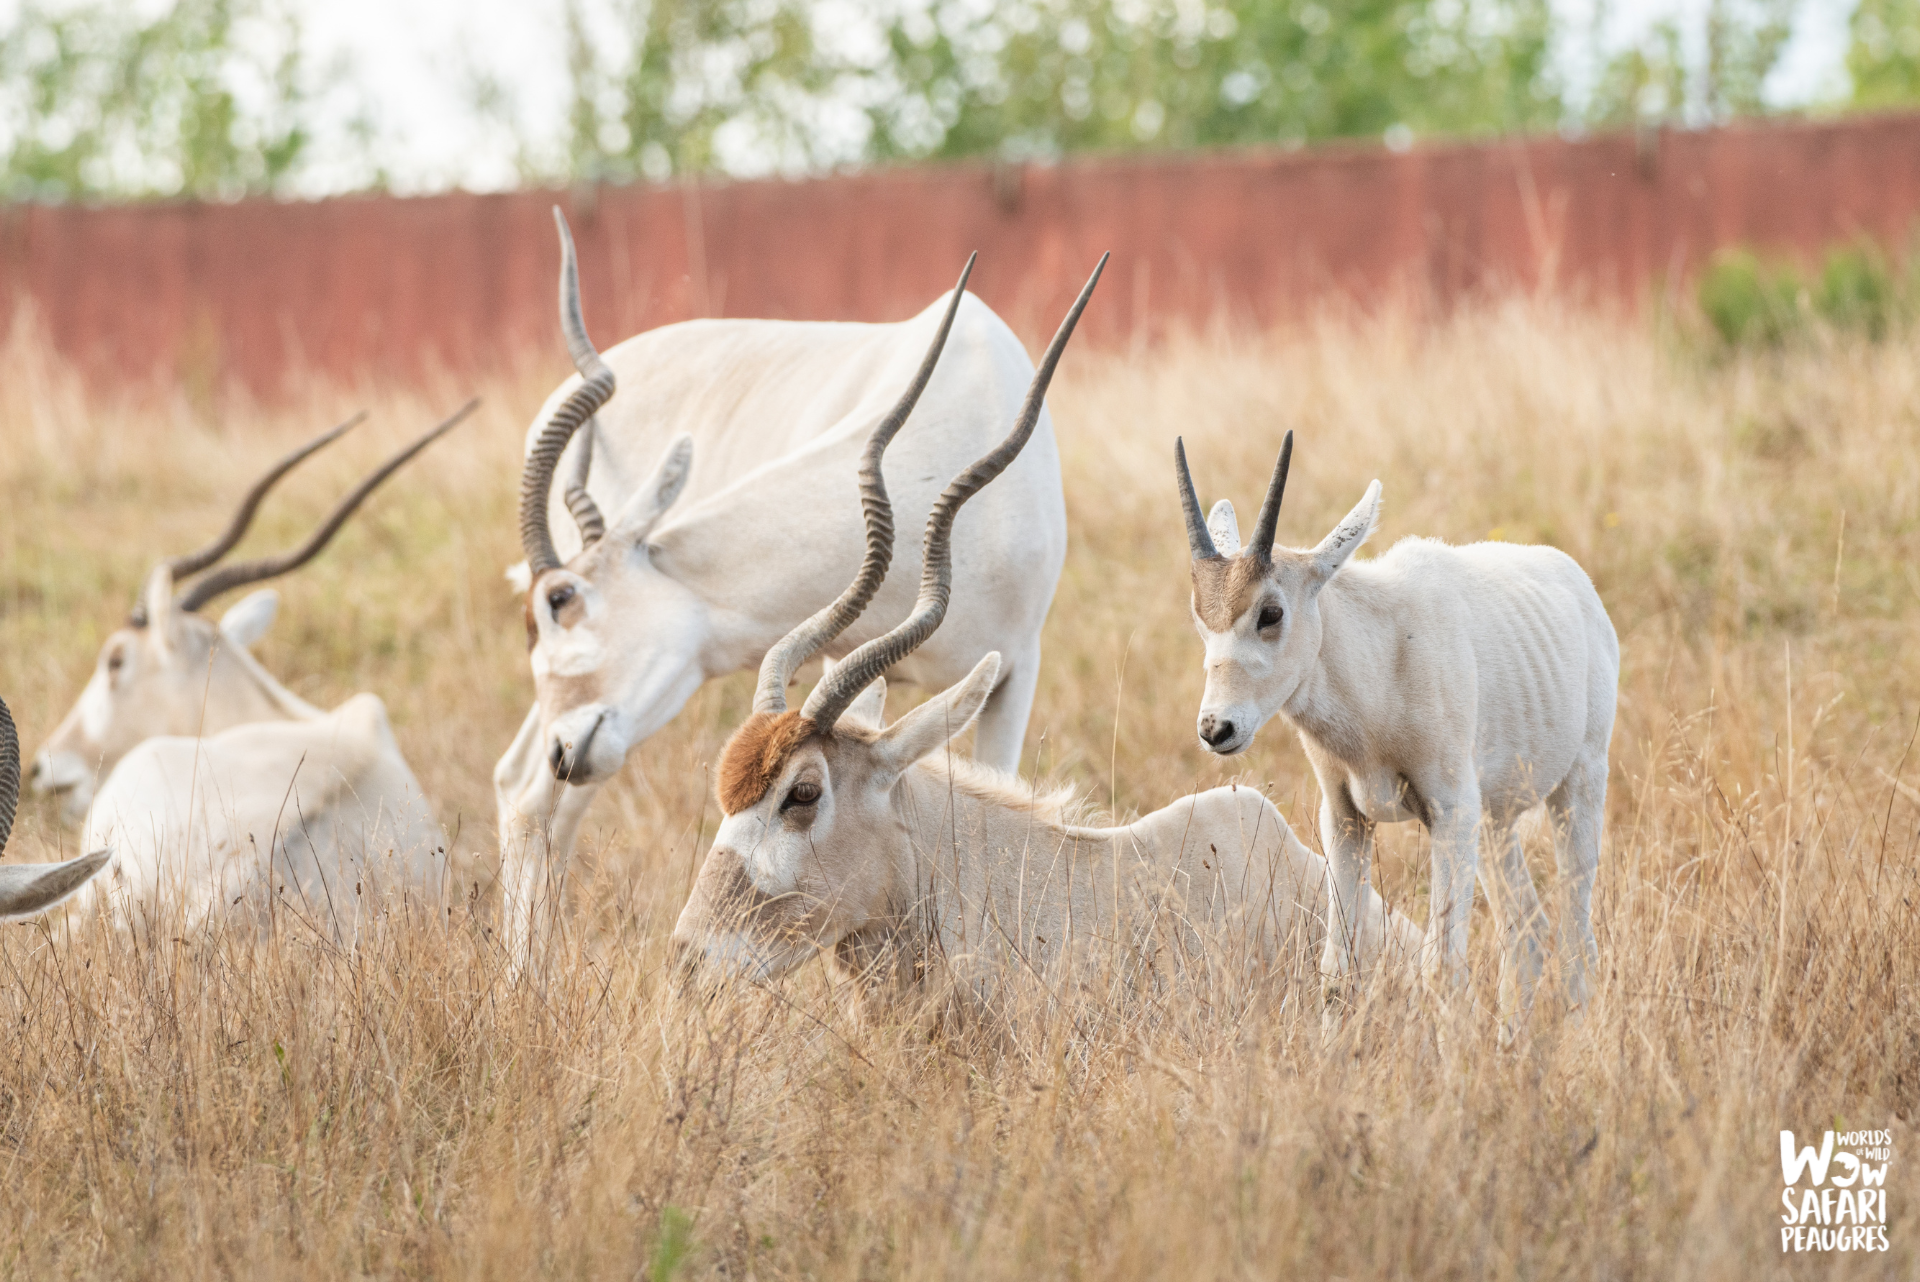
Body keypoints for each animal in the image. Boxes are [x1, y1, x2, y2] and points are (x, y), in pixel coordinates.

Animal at [1175, 429, 1612, 1028]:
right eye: (1200, 615)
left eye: (1271, 612)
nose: (1216, 728)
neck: (1382, 659)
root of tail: (1578, 583)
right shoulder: (1345, 818)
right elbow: (1337, 972)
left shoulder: (1449, 813)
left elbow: (1441, 970)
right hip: (1494, 821)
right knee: (1526, 927)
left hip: (1577, 786)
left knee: (1575, 931)